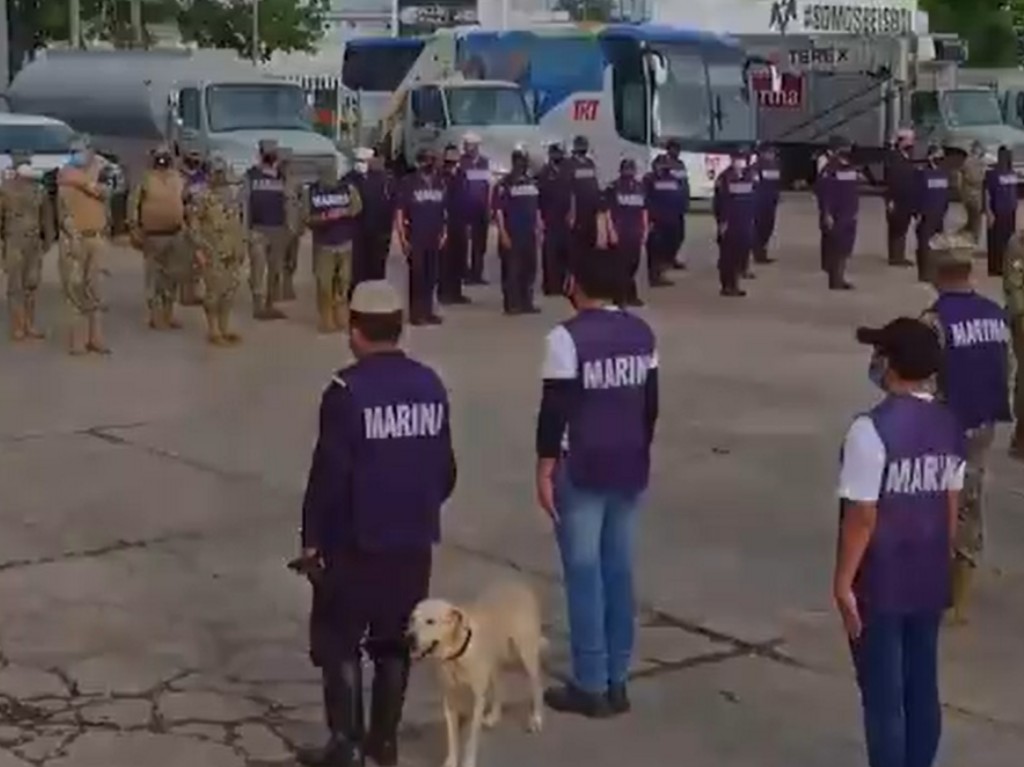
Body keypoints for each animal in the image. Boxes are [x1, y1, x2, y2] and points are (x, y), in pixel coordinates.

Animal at [411, 581, 548, 765]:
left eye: (430, 621)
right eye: (412, 619)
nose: (409, 637)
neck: (456, 654)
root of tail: (516, 584)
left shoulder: (477, 701)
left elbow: (471, 738)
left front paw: (468, 762)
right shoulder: (449, 700)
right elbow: (452, 736)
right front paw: (451, 761)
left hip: (526, 653)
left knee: (536, 685)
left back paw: (536, 719)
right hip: (495, 658)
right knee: (499, 684)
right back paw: (495, 716)